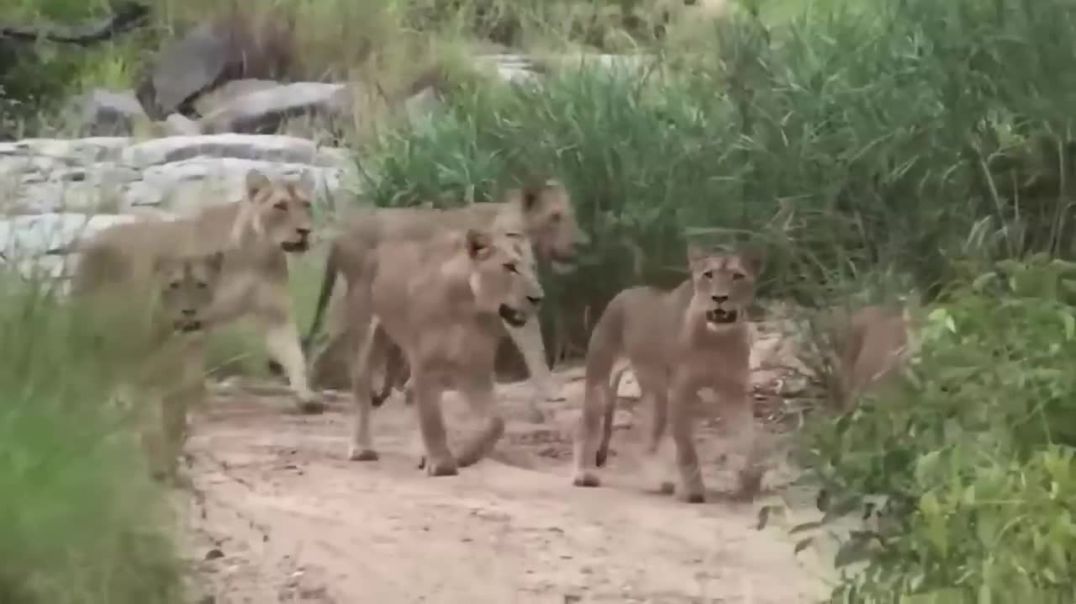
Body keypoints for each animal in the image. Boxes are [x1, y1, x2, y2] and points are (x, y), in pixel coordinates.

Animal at [60, 168, 322, 413]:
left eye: (306, 204)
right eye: (280, 206)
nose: (305, 231)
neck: (258, 252)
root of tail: (93, 240)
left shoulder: (275, 313)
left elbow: (293, 354)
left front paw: (306, 396)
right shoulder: (193, 313)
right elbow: (192, 364)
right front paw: (196, 400)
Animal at [301, 180, 586, 421]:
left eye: (570, 213)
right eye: (555, 216)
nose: (580, 243)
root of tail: (341, 234)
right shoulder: (508, 300)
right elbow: (533, 344)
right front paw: (552, 391)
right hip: (357, 303)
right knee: (327, 342)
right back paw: (314, 395)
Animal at [346, 227, 545, 476]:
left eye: (533, 267)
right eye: (509, 267)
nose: (538, 298)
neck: (468, 308)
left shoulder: (475, 369)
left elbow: (495, 422)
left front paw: (464, 457)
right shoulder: (426, 365)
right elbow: (432, 419)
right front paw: (442, 464)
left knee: (410, 394)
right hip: (368, 333)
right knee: (362, 387)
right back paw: (362, 449)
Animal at [571, 244, 765, 503]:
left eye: (737, 276)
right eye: (708, 275)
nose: (719, 298)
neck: (716, 339)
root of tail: (621, 294)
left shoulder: (734, 390)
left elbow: (748, 439)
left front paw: (750, 483)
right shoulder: (681, 393)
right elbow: (687, 450)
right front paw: (693, 491)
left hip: (656, 394)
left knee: (646, 441)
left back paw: (659, 482)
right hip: (601, 382)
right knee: (586, 426)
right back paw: (583, 475)